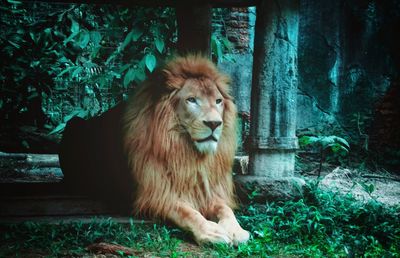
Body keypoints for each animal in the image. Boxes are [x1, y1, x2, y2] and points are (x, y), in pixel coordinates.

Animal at [122, 55, 250, 245]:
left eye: (218, 101)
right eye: (191, 100)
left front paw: (236, 231)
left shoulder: (210, 193)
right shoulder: (156, 195)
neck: (190, 155)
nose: (214, 123)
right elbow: (187, 212)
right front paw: (212, 231)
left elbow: (226, 209)